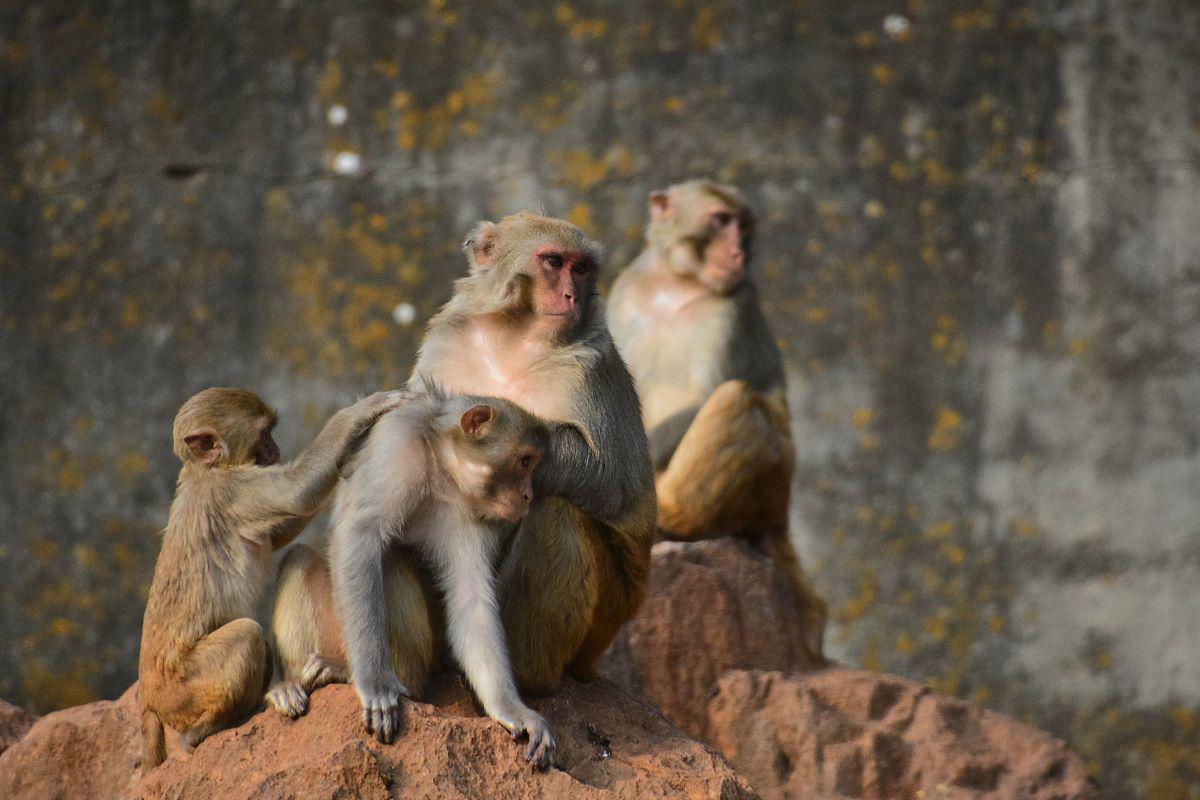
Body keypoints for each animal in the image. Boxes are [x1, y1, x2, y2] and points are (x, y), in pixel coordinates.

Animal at [135, 388, 398, 767]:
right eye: (264, 435)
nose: (276, 451)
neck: (206, 469)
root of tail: (148, 700)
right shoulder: (236, 491)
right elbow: (297, 491)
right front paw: (359, 413)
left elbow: (282, 529)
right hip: (181, 690)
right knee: (247, 634)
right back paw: (207, 729)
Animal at [267, 386, 556, 767]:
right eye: (524, 461)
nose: (528, 495)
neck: (440, 465)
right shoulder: (397, 444)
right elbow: (359, 536)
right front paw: (375, 683)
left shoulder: (472, 512)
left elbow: (470, 596)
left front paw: (510, 709)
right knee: (312, 558)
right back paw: (295, 684)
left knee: (392, 562)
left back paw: (348, 673)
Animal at [609, 181, 825, 662]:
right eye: (720, 221)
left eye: (744, 226)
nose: (739, 252)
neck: (677, 285)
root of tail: (781, 514)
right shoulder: (624, 293)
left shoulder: (735, 307)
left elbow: (712, 392)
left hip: (769, 488)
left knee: (739, 401)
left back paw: (671, 520)